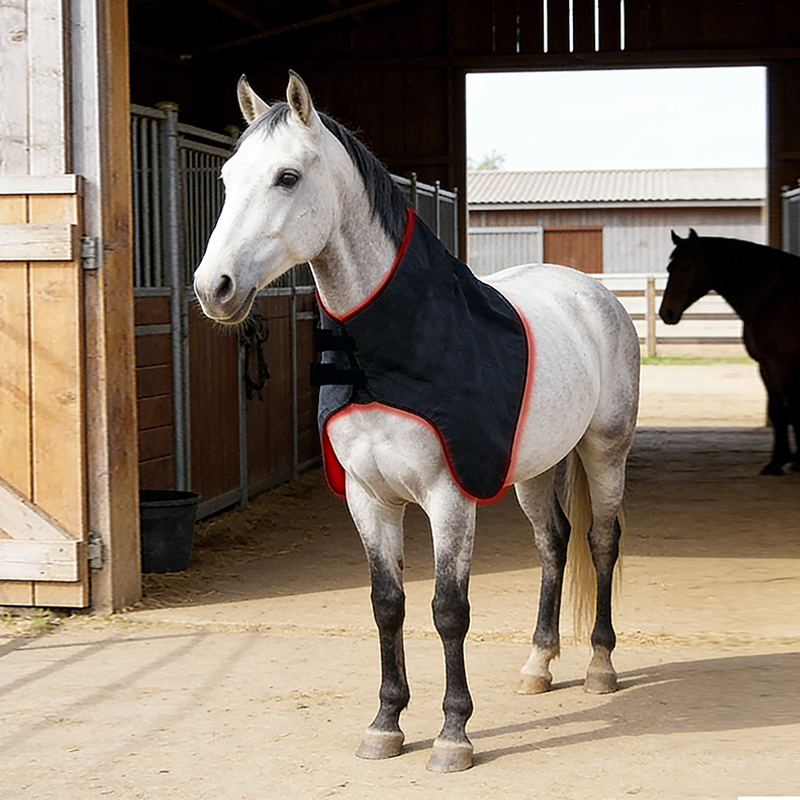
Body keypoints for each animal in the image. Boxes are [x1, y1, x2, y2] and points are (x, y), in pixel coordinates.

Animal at [193, 72, 640, 773]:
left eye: (287, 177)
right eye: (228, 177)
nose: (214, 287)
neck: (386, 355)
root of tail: (594, 295)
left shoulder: (448, 496)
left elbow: (448, 609)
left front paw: (454, 734)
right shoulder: (369, 497)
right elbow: (388, 606)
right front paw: (385, 724)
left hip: (605, 450)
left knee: (600, 542)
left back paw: (599, 665)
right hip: (534, 470)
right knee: (554, 542)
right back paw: (538, 665)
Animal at [661, 229, 800, 475]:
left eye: (686, 267)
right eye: (670, 268)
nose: (666, 312)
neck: (773, 297)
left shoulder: (783, 365)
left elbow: (789, 411)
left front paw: (790, 461)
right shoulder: (766, 367)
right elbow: (778, 412)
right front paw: (777, 462)